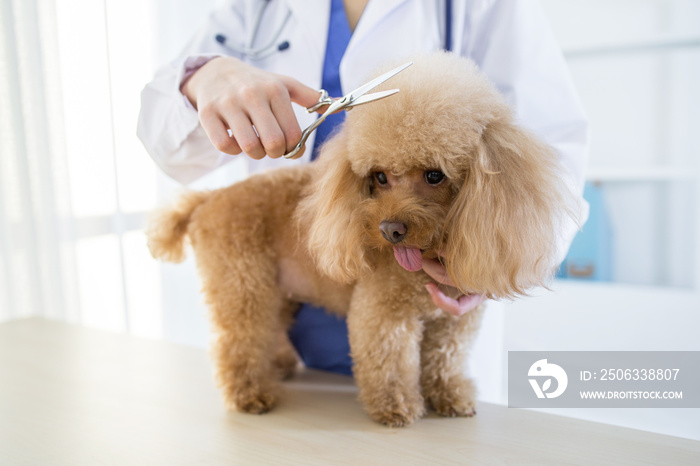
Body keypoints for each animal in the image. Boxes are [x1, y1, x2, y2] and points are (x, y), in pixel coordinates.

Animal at [146, 52, 576, 428]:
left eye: (434, 175)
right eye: (380, 177)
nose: (390, 230)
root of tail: (207, 199)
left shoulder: (455, 322)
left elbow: (446, 360)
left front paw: (450, 398)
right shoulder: (383, 312)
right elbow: (390, 361)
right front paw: (397, 407)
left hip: (280, 292)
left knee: (271, 331)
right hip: (243, 286)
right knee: (240, 341)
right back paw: (251, 394)